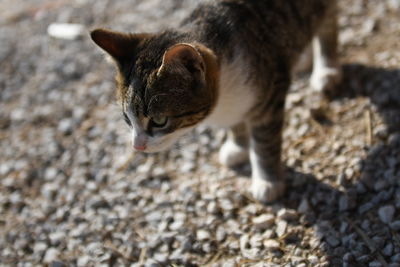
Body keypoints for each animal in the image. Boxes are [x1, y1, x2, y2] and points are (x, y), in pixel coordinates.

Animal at [90, 0, 340, 203]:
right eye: (127, 118)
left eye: (159, 121)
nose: (137, 146)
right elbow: (236, 124)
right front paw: (238, 146)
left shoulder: (270, 96)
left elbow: (265, 143)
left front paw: (267, 181)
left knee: (328, 24)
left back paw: (326, 69)